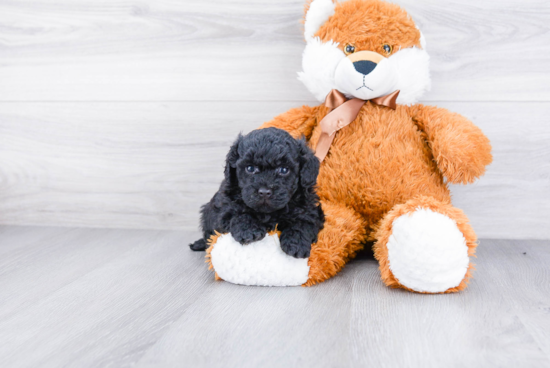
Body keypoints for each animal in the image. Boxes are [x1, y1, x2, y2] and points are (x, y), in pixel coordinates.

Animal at [191, 128, 326, 258]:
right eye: (250, 168)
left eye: (283, 170)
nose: (264, 192)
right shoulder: (224, 209)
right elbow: (238, 213)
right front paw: (249, 231)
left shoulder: (310, 210)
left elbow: (303, 223)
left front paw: (296, 244)